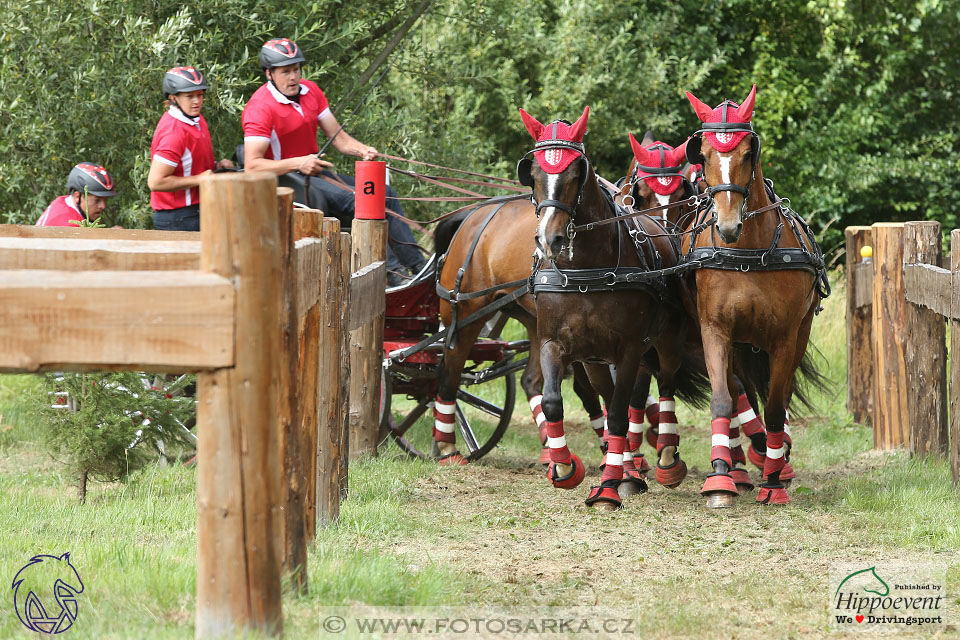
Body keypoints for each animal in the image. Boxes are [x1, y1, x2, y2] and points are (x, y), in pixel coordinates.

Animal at [680, 84, 828, 504]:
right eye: (704, 154)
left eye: (748, 152)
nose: (728, 225)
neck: (747, 253)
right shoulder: (714, 330)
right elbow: (723, 398)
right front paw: (720, 478)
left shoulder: (784, 338)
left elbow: (777, 406)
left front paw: (774, 481)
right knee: (737, 390)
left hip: (795, 337)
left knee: (781, 394)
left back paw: (773, 460)